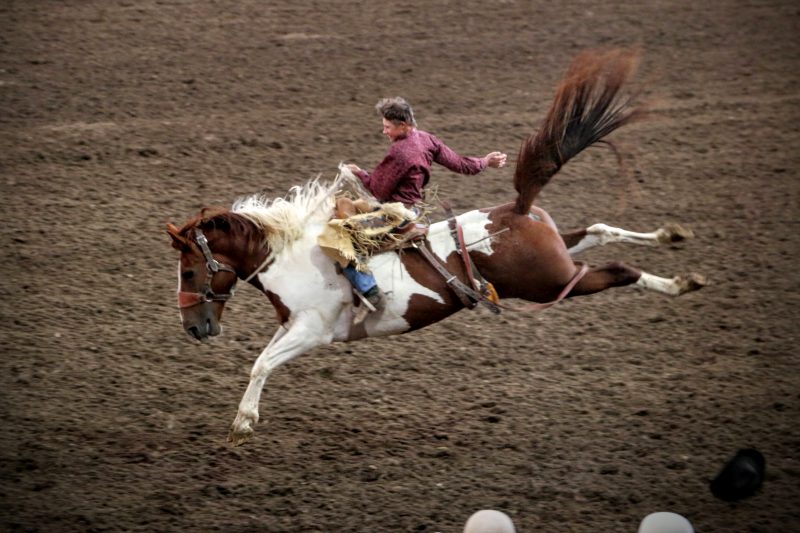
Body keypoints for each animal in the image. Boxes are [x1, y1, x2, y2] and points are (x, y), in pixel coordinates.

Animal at [169, 50, 708, 442]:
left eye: (189, 271)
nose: (194, 328)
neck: (293, 255)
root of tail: (517, 209)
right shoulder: (292, 326)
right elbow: (262, 358)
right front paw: (245, 419)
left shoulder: (313, 331)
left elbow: (261, 362)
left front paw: (242, 424)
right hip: (556, 255)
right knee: (599, 230)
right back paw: (673, 243)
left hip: (550, 281)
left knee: (617, 269)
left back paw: (679, 282)